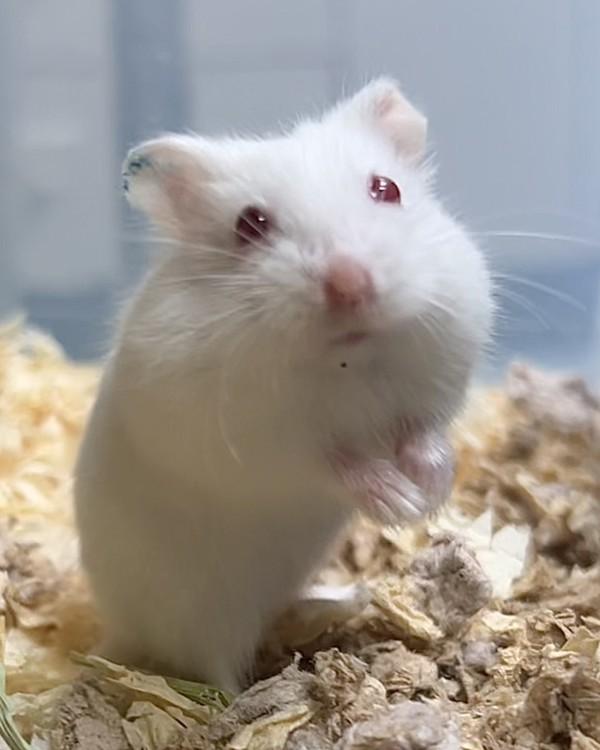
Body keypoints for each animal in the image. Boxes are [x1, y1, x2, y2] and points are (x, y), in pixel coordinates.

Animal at [74, 78, 493, 693]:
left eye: (387, 189)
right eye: (250, 224)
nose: (350, 284)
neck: (348, 363)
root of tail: (122, 632)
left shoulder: (433, 389)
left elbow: (424, 434)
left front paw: (430, 496)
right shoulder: (265, 446)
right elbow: (336, 463)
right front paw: (400, 504)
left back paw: (343, 598)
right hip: (200, 618)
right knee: (214, 671)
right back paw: (251, 696)